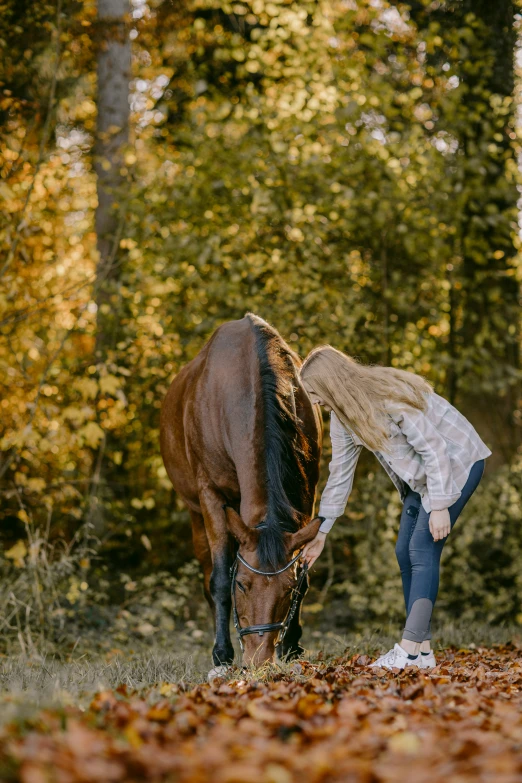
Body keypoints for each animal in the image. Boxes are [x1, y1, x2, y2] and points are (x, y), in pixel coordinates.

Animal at [159, 314, 320, 668]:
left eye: (287, 591)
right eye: (243, 586)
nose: (259, 661)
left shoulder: (306, 497)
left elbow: (304, 572)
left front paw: (292, 645)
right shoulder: (210, 496)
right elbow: (220, 579)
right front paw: (221, 653)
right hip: (196, 513)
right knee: (208, 569)